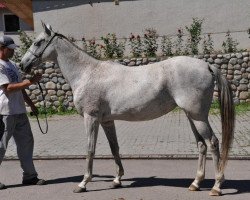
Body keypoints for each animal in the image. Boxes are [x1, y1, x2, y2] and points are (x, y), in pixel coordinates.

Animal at [20, 23, 234, 195]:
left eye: (38, 42)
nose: (23, 64)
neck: (87, 73)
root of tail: (207, 65)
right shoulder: (107, 120)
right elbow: (114, 148)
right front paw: (117, 180)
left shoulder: (91, 118)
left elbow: (90, 149)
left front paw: (83, 183)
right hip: (192, 116)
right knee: (201, 145)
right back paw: (196, 183)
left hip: (198, 117)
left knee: (213, 143)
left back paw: (216, 186)